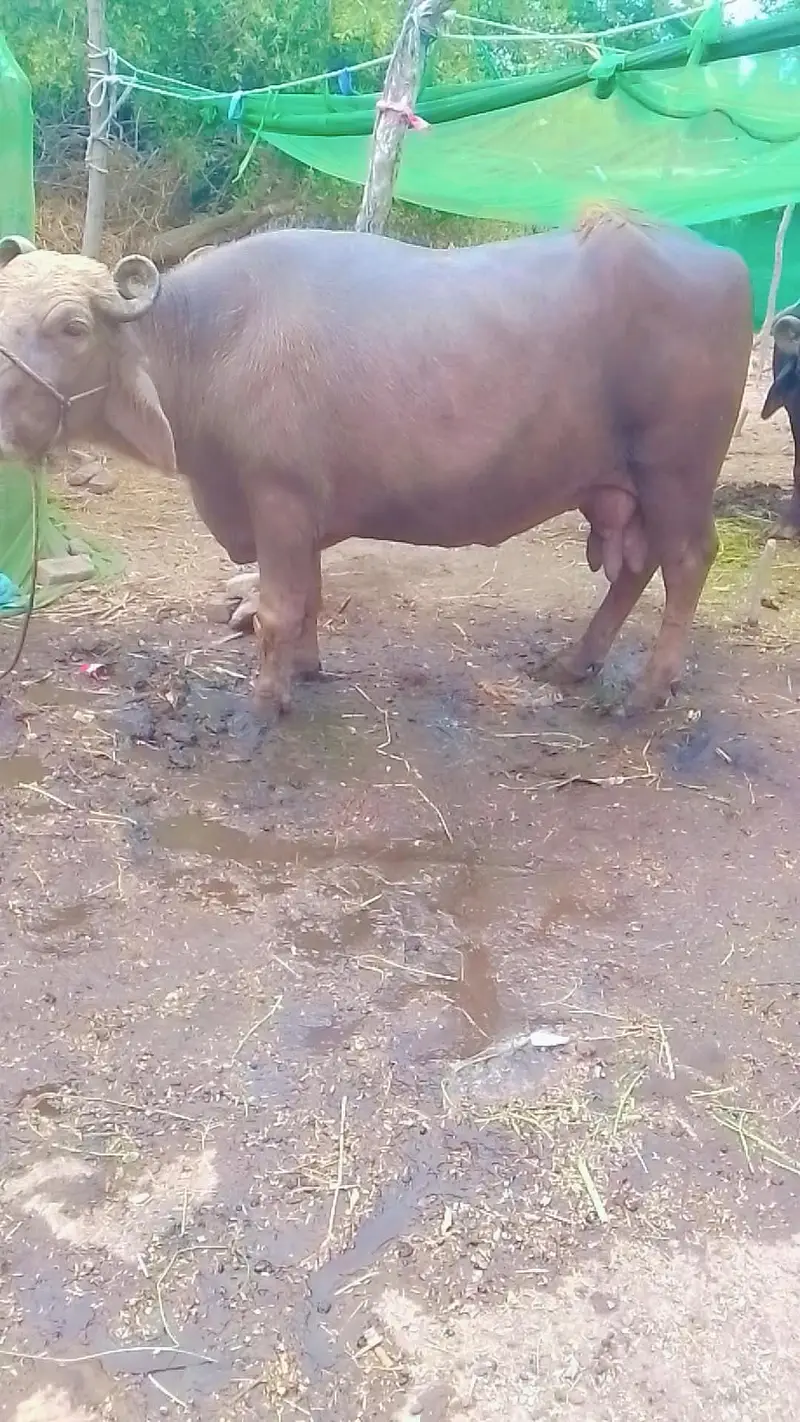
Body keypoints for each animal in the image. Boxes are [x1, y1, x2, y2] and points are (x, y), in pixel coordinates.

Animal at [0, 211, 751, 718]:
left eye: (72, 327)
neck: (213, 340)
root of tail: (721, 261)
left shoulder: (277, 497)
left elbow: (278, 607)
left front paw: (267, 700)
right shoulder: (301, 513)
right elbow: (309, 596)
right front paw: (305, 670)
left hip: (677, 474)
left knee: (686, 562)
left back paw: (648, 691)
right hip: (617, 487)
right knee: (635, 567)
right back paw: (575, 662)